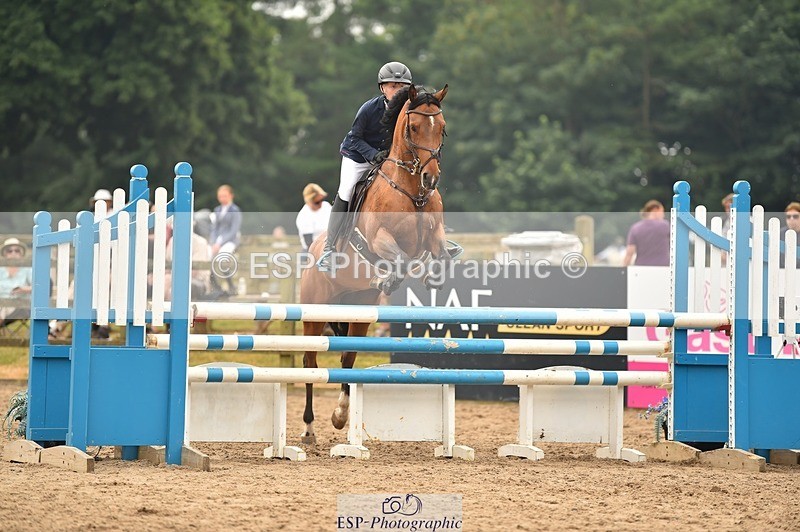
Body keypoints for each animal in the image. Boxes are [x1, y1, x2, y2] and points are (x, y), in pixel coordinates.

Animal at [299, 84, 450, 444]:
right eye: (413, 128)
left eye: (441, 128)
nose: (431, 178)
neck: (412, 192)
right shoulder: (380, 238)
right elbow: (397, 258)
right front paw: (388, 279)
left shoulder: (434, 234)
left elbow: (436, 253)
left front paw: (433, 277)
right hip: (315, 310)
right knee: (310, 360)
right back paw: (309, 428)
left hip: (357, 309)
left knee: (348, 355)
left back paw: (341, 415)